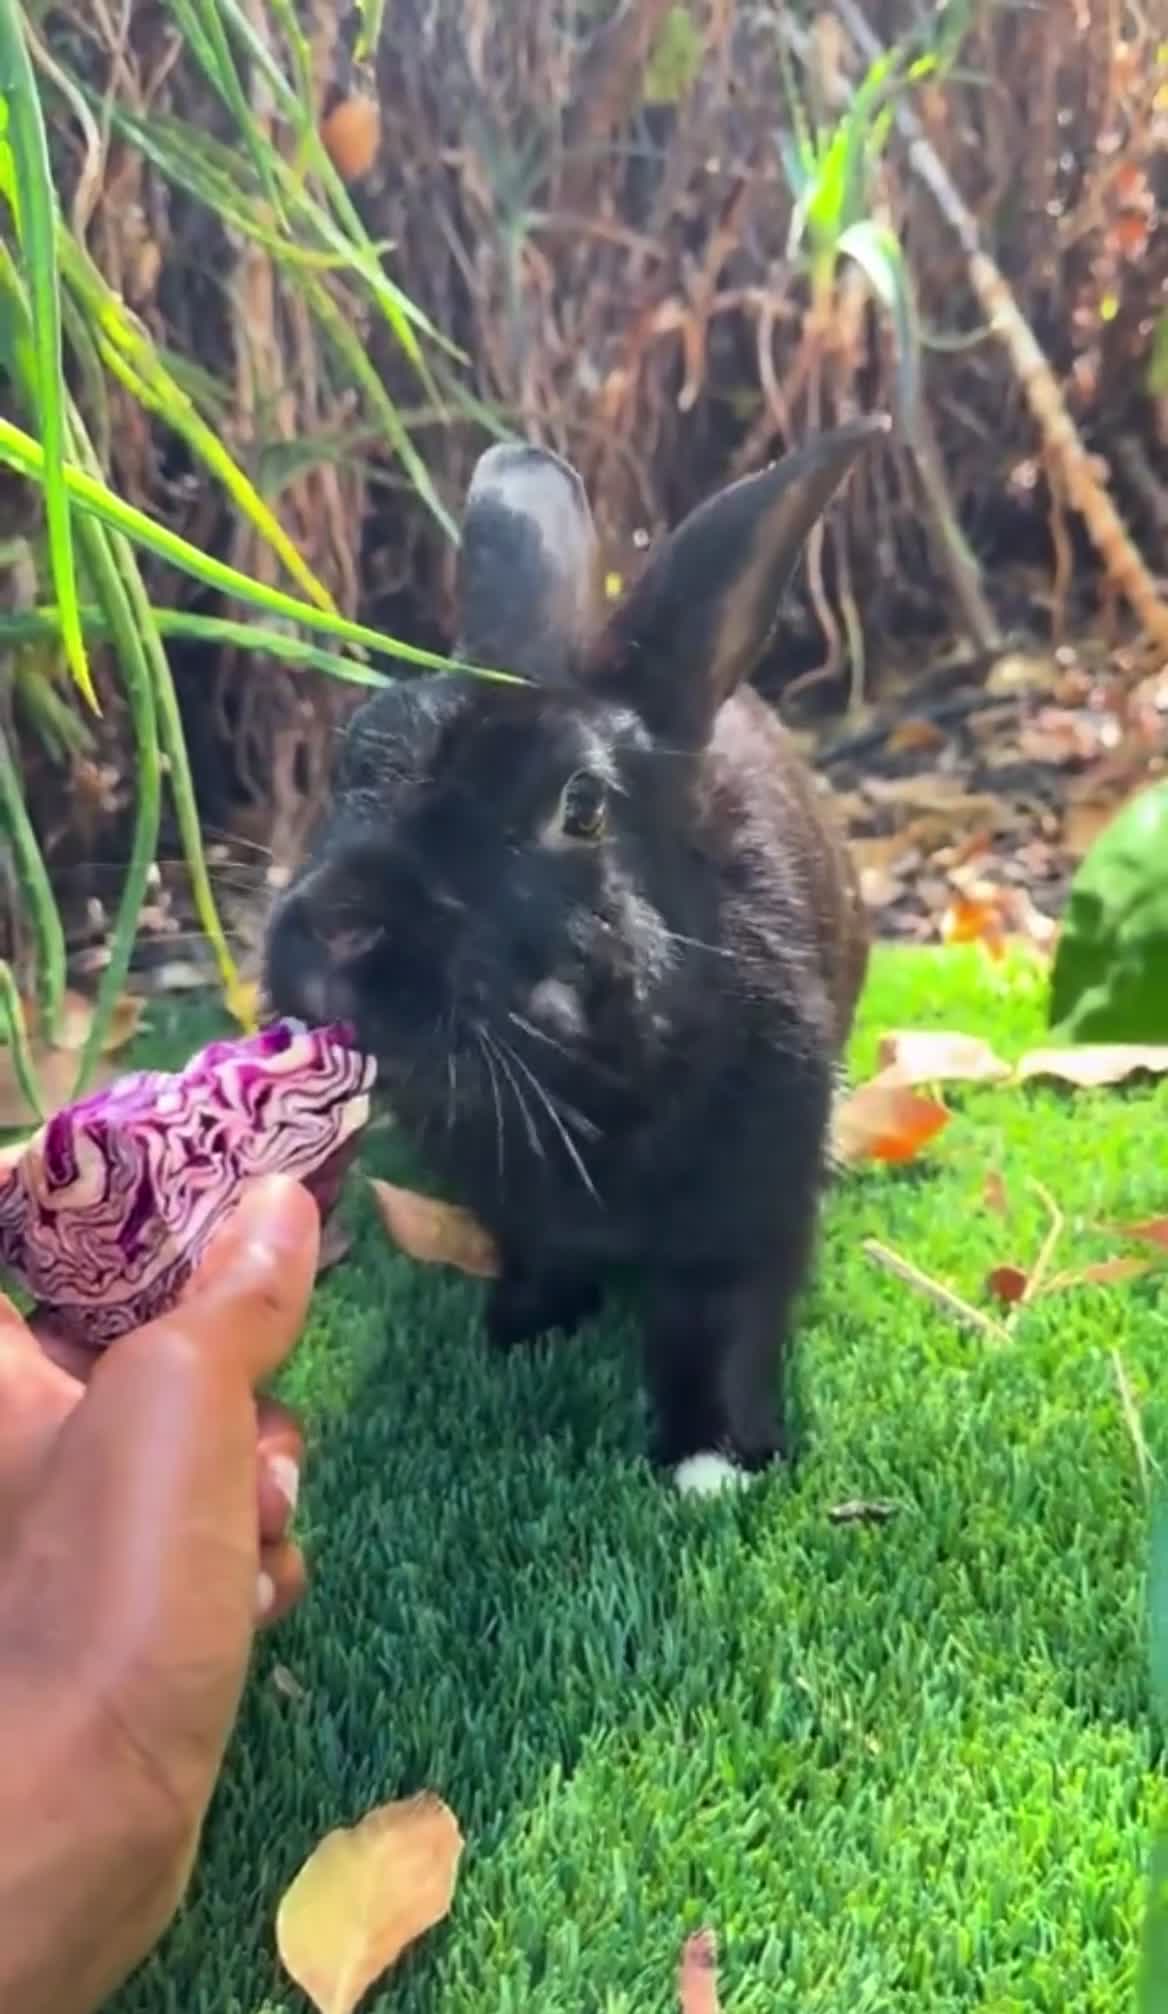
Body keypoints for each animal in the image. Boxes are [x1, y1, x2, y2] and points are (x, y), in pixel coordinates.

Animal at [264, 418, 882, 1492]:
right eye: (353, 755)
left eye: (581, 807)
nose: (337, 927)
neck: (580, 1077)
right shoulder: (518, 1210)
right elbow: (544, 1258)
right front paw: (520, 1334)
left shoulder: (752, 1207)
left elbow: (723, 1316)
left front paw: (712, 1461)